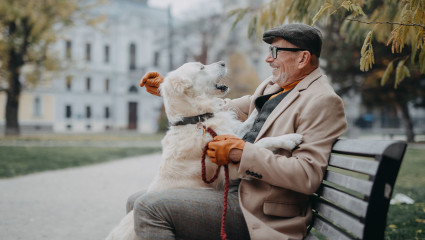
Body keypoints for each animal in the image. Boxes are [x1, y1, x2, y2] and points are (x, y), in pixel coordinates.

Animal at [105, 62, 302, 240]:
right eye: (201, 67)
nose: (223, 62)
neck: (196, 120)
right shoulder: (232, 168)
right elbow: (260, 143)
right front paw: (289, 139)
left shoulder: (230, 134)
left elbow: (246, 124)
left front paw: (261, 101)